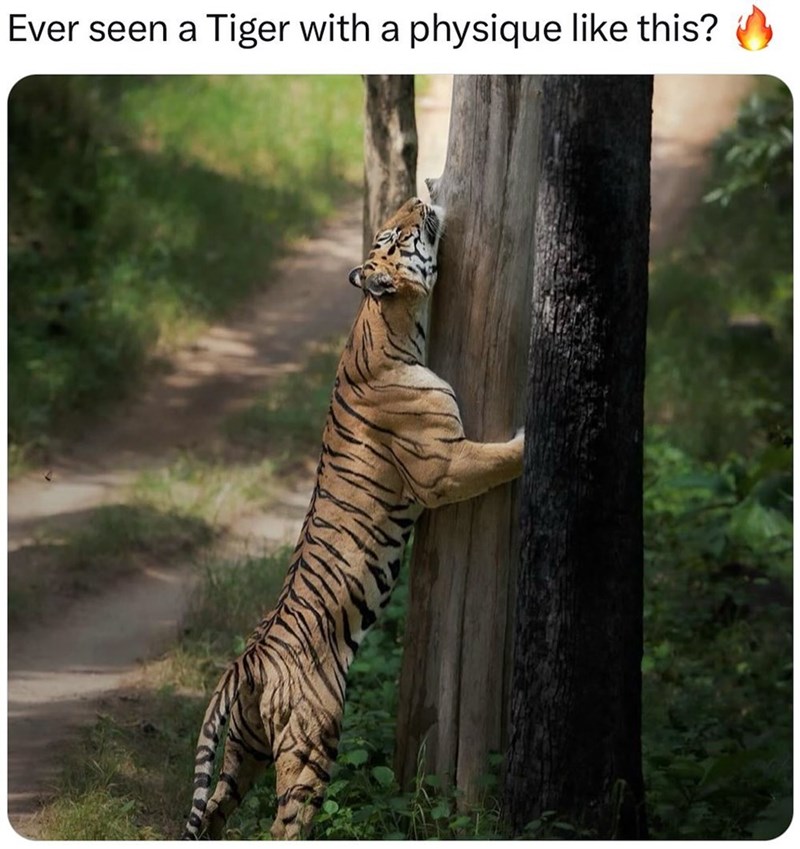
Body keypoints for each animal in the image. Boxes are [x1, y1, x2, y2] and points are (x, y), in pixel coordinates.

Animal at [182, 196, 524, 840]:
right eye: (394, 235)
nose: (420, 198)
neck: (390, 321)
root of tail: (244, 662)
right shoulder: (444, 464)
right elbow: (501, 456)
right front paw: (537, 436)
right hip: (312, 743)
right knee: (284, 826)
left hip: (245, 750)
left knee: (213, 813)